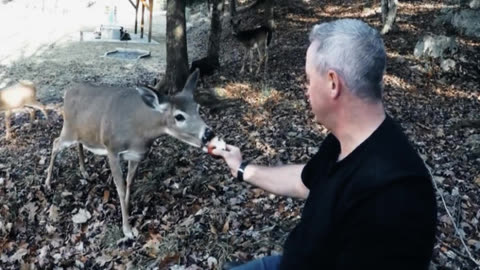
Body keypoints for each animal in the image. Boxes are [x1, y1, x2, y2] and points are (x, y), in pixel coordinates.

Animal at [46, 70, 217, 238]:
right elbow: (120, 188)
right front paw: (127, 229)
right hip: (68, 129)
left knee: (79, 144)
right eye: (179, 116)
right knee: (55, 143)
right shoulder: (112, 149)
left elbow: (130, 183)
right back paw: (48, 183)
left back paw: (84, 172)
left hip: (81, 131)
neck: (139, 132)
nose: (208, 134)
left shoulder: (136, 155)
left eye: (198, 108)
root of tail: (67, 91)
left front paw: (129, 210)